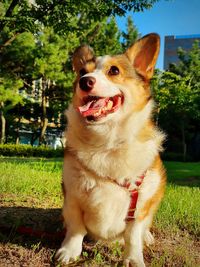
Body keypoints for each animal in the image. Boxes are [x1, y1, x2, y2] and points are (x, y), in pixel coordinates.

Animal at [55, 34, 166, 267]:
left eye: (114, 71)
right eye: (81, 71)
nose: (85, 81)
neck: (107, 141)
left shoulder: (139, 206)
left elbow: (133, 235)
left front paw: (133, 258)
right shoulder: (73, 198)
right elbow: (76, 229)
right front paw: (69, 251)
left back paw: (147, 236)